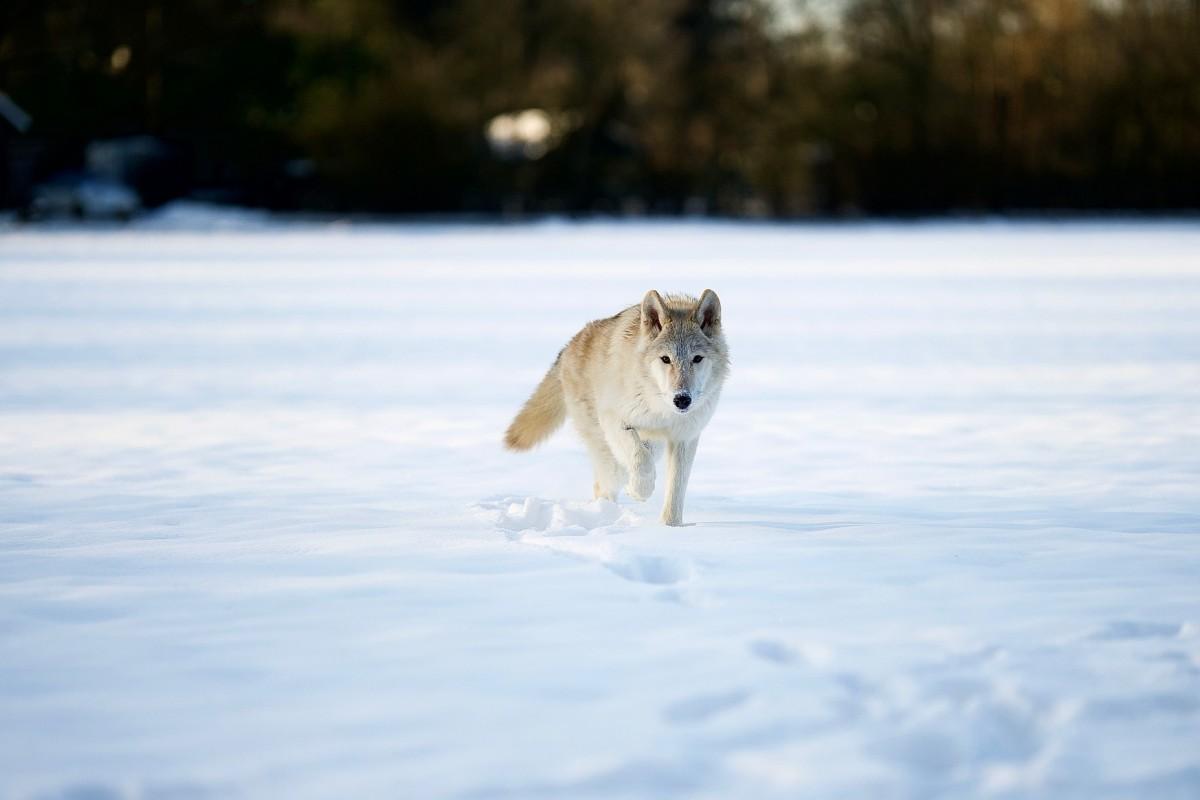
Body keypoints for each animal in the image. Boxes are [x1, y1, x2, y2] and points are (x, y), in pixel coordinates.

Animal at [501, 287, 724, 525]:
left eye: (697, 358)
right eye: (665, 359)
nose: (682, 399)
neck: (660, 408)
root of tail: (568, 347)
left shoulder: (684, 437)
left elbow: (676, 491)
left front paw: (670, 527)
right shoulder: (614, 420)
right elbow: (640, 460)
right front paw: (639, 491)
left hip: (652, 446)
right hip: (608, 450)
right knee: (605, 484)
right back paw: (605, 513)